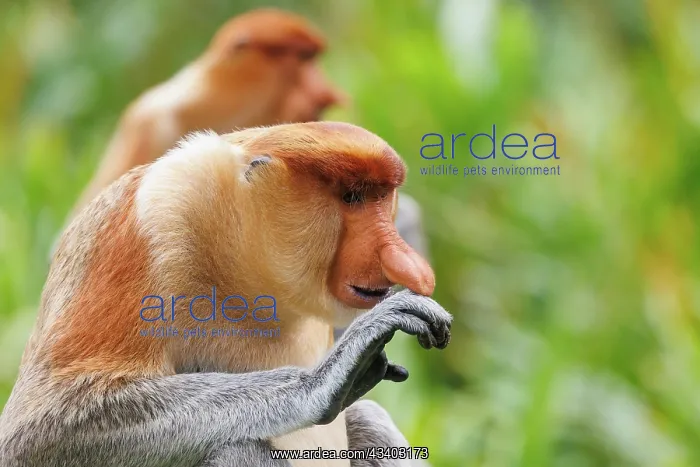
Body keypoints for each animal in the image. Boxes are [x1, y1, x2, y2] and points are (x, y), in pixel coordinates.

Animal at [0, 122, 452, 467]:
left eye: (381, 197)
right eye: (352, 196)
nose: (405, 261)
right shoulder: (141, 229)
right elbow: (35, 432)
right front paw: (325, 378)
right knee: (235, 446)